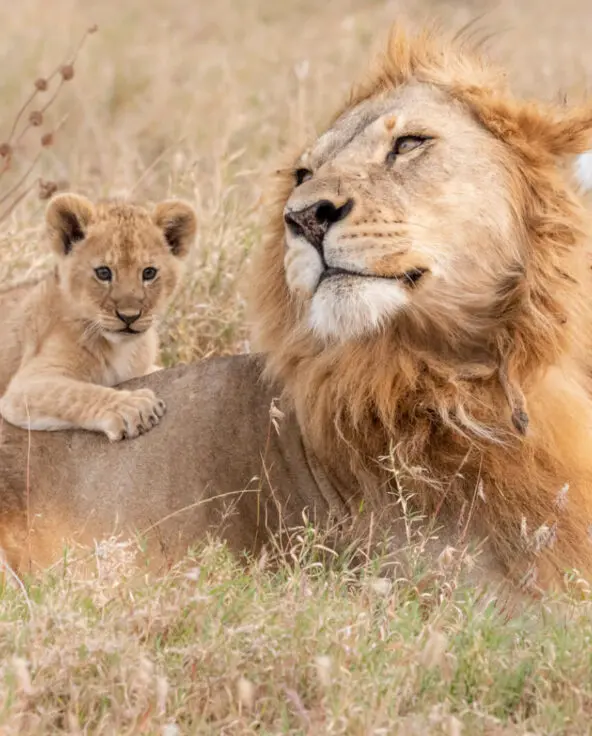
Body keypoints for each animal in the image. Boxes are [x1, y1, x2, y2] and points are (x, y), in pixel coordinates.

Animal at [0, 194, 197, 441]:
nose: (129, 317)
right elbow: (76, 393)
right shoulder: (24, 386)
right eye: (103, 273)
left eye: (149, 273)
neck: (121, 347)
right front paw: (133, 407)